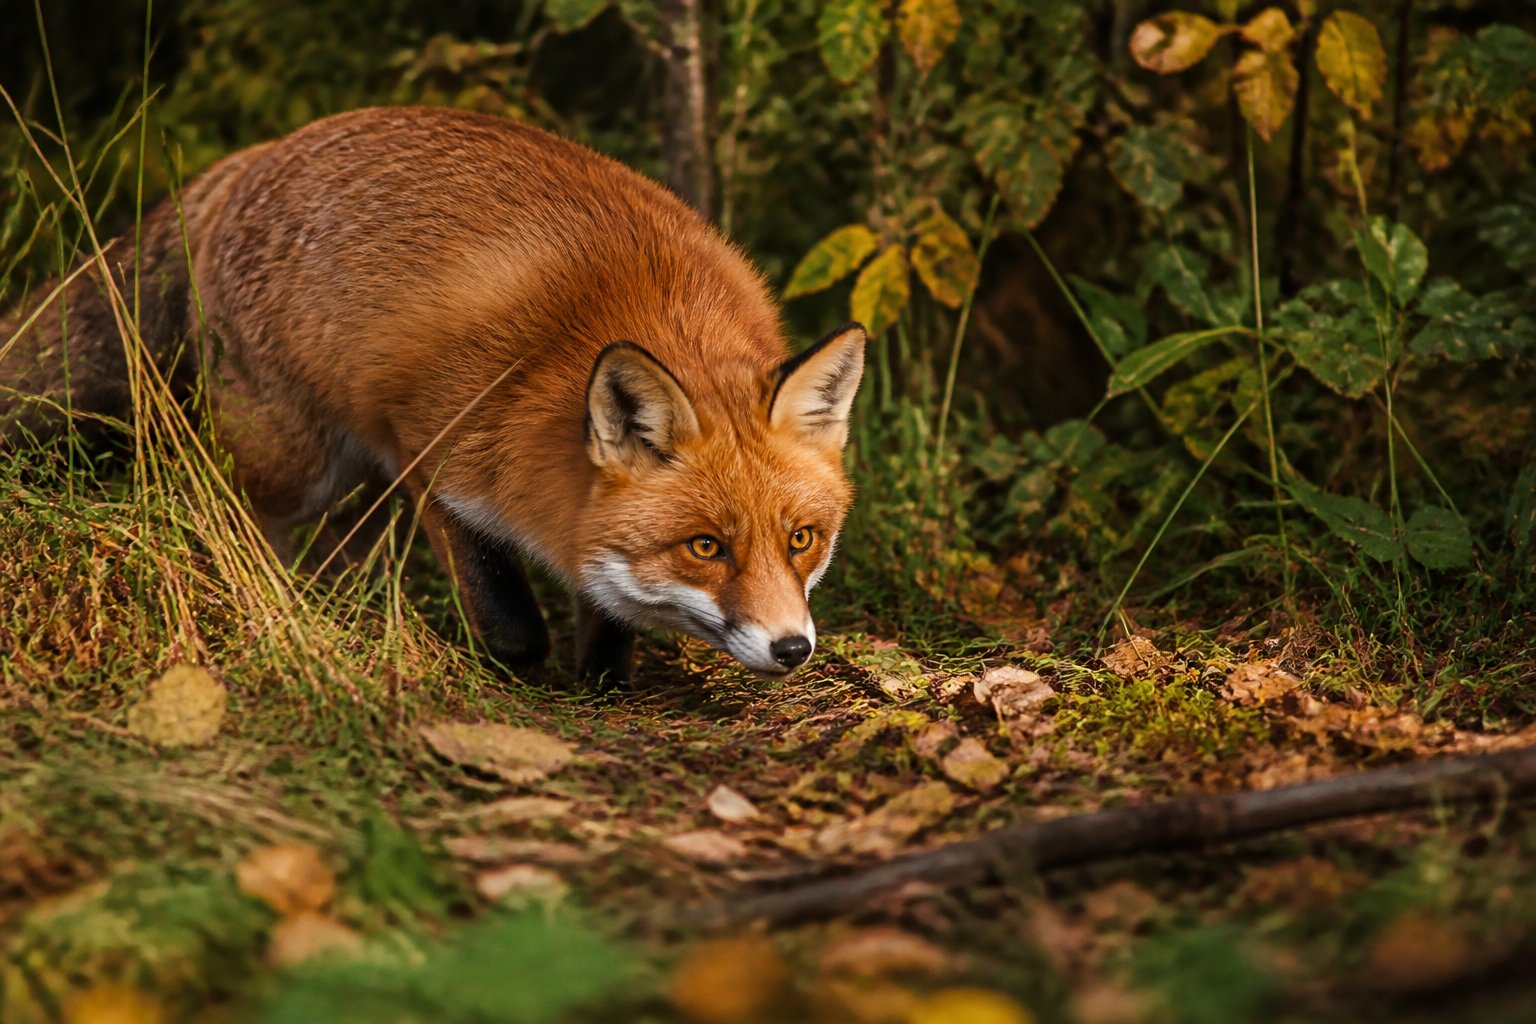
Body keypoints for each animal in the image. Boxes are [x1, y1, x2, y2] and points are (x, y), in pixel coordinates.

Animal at [0, 106, 866, 682]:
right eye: (706, 547)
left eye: (802, 539)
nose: (794, 649)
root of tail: (258, 154)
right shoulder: (433, 454)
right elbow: (509, 617)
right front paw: (514, 674)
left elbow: (606, 611)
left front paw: (602, 682)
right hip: (298, 461)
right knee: (230, 511)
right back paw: (278, 608)